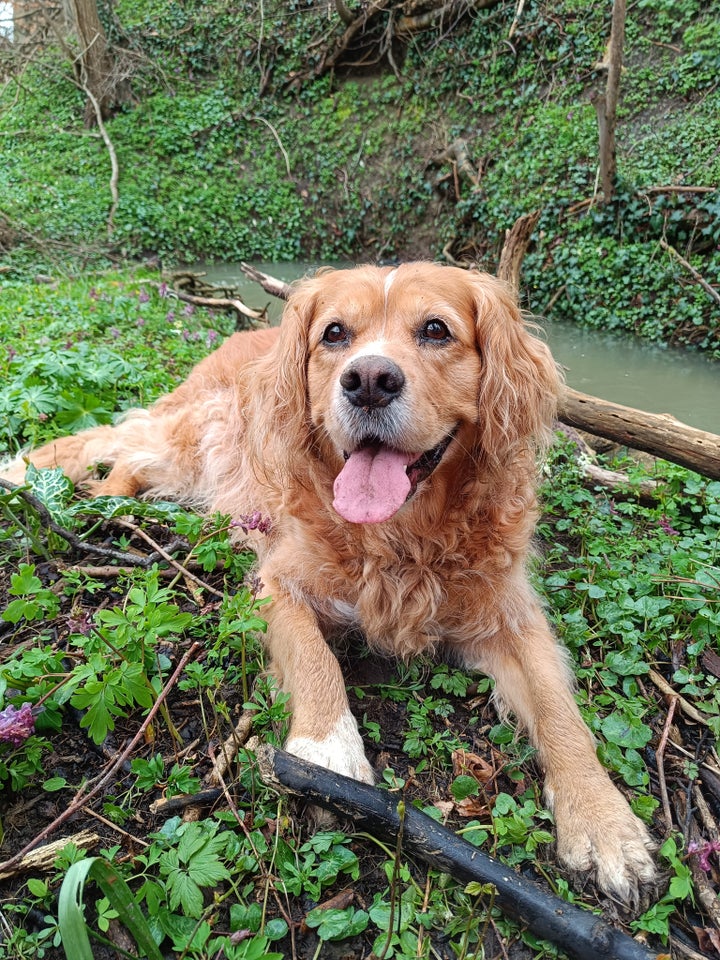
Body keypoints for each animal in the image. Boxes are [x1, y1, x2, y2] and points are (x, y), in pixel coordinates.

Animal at [4, 260, 660, 900]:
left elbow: (560, 712)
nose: (367, 380)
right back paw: (36, 475)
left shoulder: (512, 617)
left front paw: (603, 820)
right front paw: (328, 751)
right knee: (108, 441)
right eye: (335, 334)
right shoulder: (277, 584)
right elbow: (314, 656)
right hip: (188, 439)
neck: (401, 537)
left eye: (436, 330)